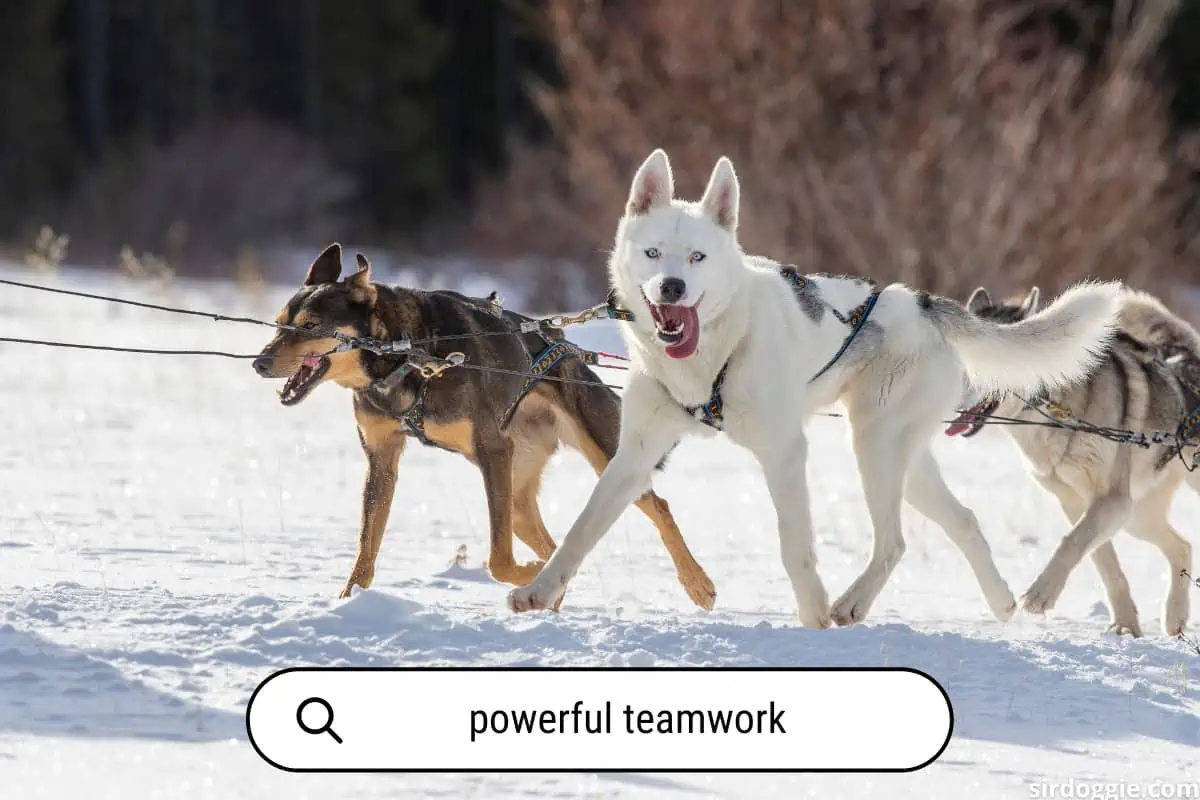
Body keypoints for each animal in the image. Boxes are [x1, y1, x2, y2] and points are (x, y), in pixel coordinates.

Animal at [250, 244, 710, 606]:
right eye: (279, 320)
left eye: (310, 326)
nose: (259, 363)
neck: (407, 353)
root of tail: (569, 348)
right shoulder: (381, 461)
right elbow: (367, 547)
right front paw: (349, 601)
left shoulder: (492, 450)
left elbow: (499, 561)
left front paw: (523, 571)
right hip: (517, 494)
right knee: (553, 543)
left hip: (595, 460)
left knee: (659, 507)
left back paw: (697, 583)